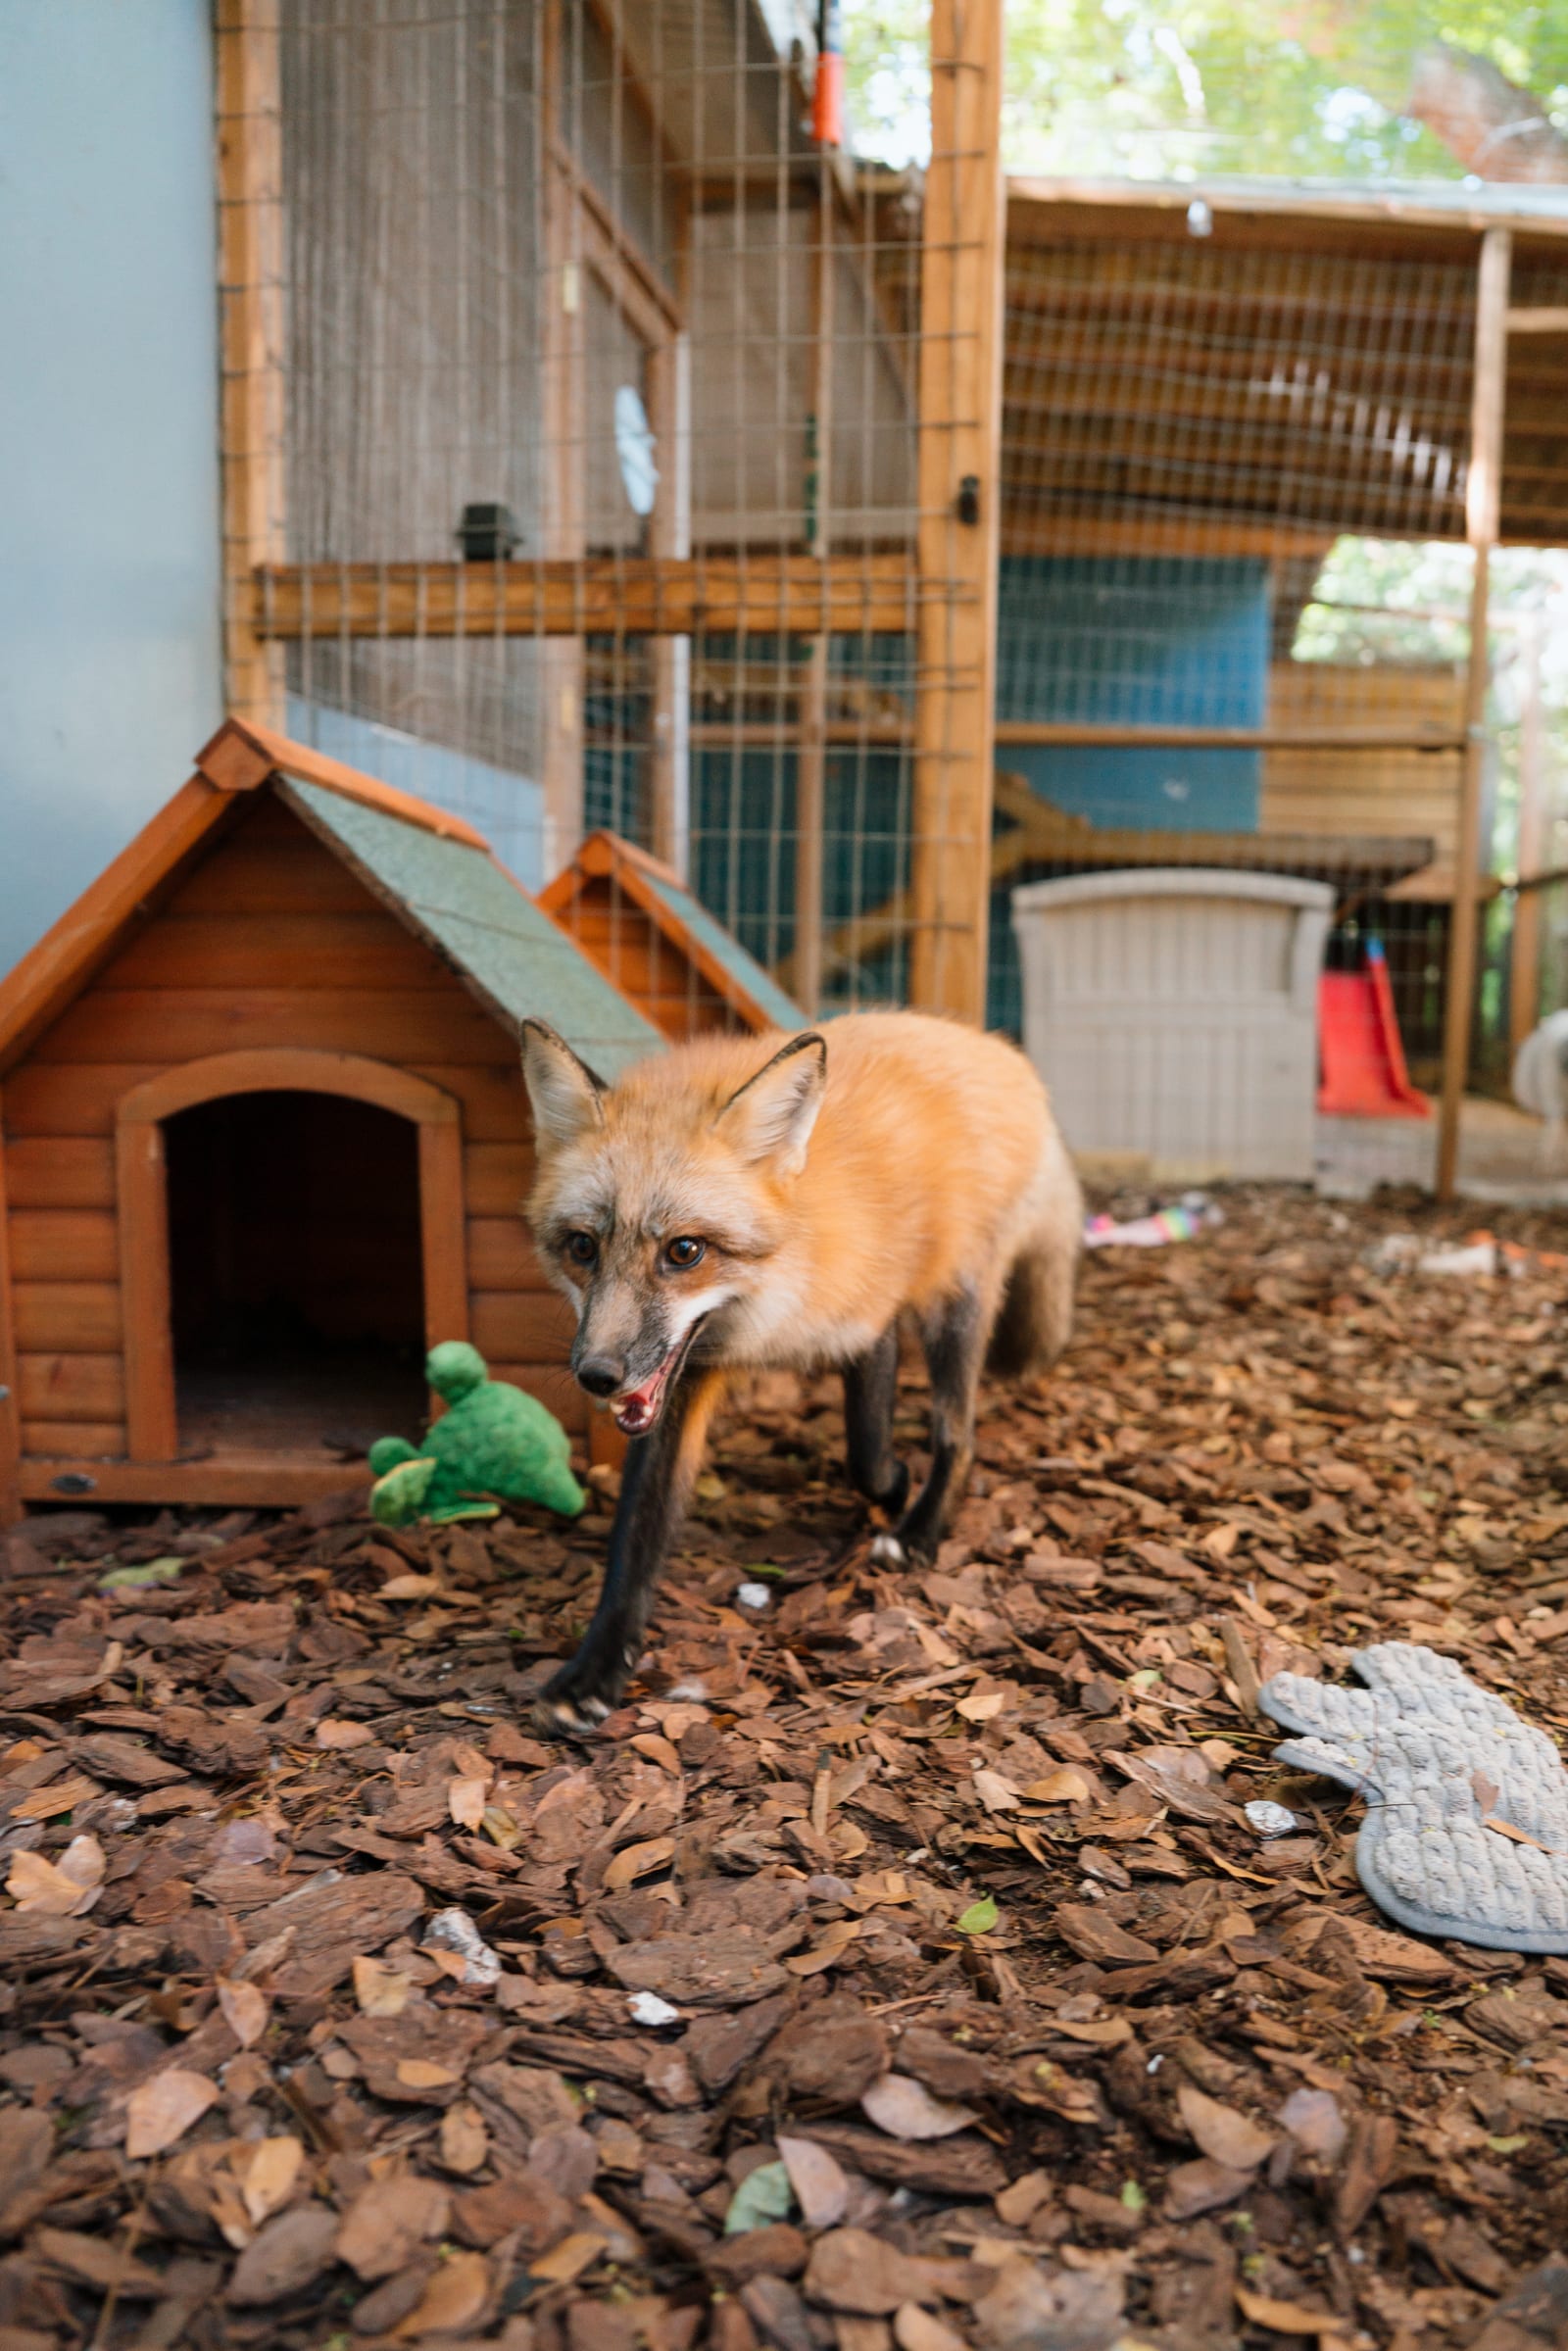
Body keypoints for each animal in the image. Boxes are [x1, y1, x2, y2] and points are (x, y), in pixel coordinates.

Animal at [520, 1009, 1083, 1735]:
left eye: (684, 1251)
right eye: (582, 1247)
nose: (597, 1374)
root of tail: (991, 1044)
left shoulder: (867, 1316)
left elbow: (867, 1451)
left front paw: (896, 1490)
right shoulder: (683, 1383)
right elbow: (635, 1538)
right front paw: (597, 1668)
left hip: (955, 1303)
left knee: (958, 1435)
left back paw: (921, 1528)